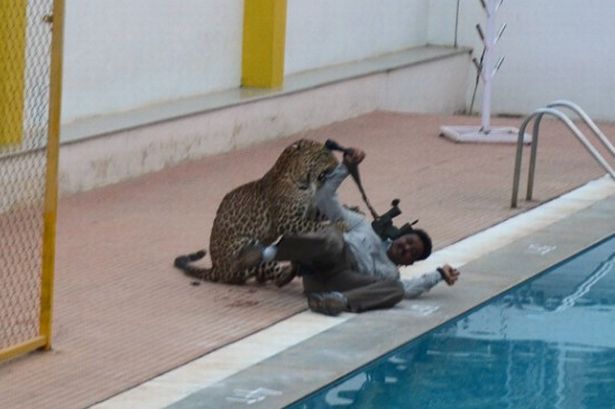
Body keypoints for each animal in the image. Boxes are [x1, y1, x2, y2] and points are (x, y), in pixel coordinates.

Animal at [173, 139, 340, 286]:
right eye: (323, 155)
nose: (338, 164)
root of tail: (216, 268)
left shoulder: (308, 210)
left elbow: (320, 214)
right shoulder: (287, 220)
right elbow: (314, 226)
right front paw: (336, 226)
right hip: (248, 247)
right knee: (275, 276)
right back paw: (292, 268)